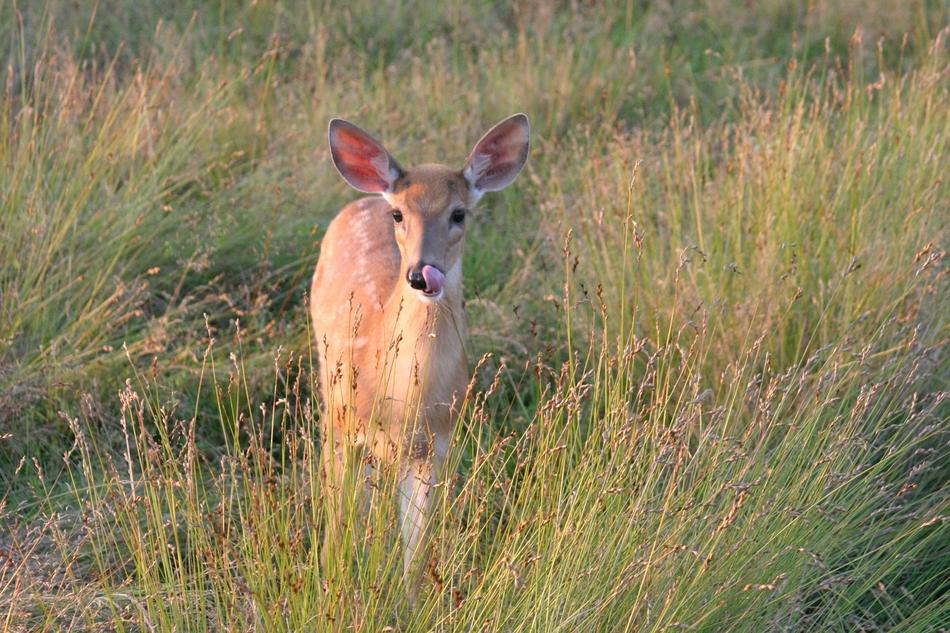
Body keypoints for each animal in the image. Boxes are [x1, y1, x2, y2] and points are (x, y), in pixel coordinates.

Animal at [310, 113, 530, 598]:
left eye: (459, 213)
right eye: (399, 214)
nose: (418, 274)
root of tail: (365, 198)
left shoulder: (437, 445)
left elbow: (418, 551)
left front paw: (411, 603)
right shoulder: (342, 422)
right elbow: (338, 522)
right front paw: (333, 587)